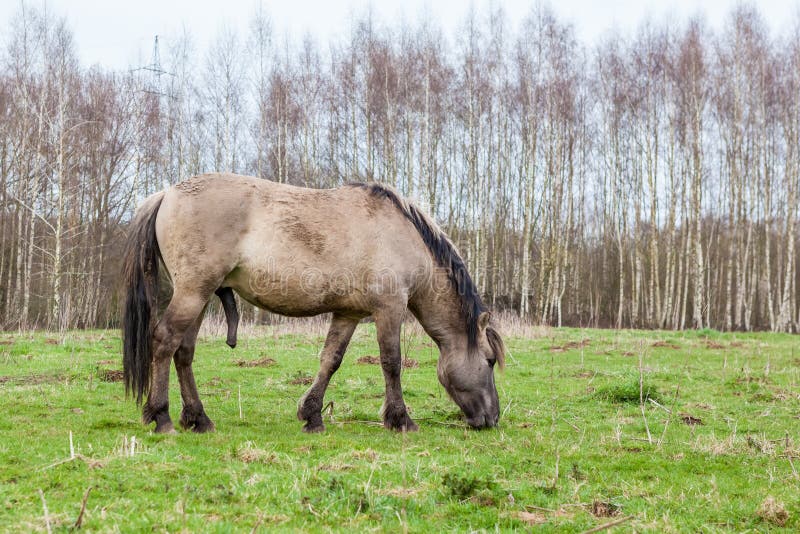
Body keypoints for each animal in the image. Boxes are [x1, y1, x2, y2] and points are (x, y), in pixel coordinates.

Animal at [121, 176, 504, 436]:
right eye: (488, 360)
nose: (492, 418)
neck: (400, 235)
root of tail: (166, 194)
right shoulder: (389, 309)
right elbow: (391, 363)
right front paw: (400, 419)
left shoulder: (348, 314)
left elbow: (330, 360)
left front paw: (312, 415)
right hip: (192, 293)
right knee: (164, 342)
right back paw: (161, 416)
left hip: (200, 297)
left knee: (183, 352)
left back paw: (198, 418)